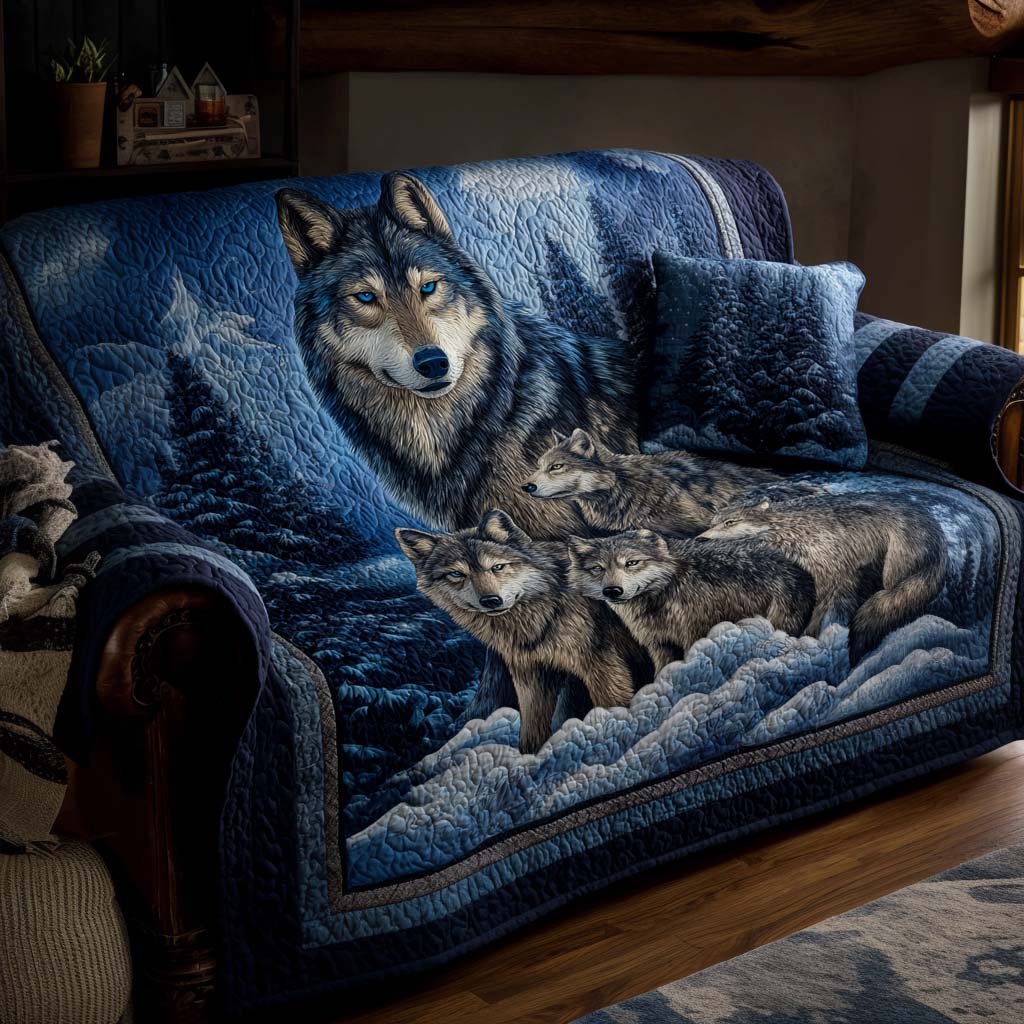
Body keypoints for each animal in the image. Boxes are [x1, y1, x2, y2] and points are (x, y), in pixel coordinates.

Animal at [395, 510, 653, 753]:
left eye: (497, 567)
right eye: (457, 574)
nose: (491, 600)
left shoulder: (601, 665)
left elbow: (611, 703)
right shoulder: (530, 676)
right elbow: (531, 726)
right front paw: (531, 758)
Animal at [567, 531, 815, 672]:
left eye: (631, 563)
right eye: (598, 568)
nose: (612, 590)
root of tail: (794, 566)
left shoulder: (694, 636)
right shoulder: (660, 645)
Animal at [702, 493, 948, 661]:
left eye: (730, 522)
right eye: (712, 523)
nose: (701, 539)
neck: (792, 529)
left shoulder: (834, 576)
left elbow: (821, 613)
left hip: (894, 573)